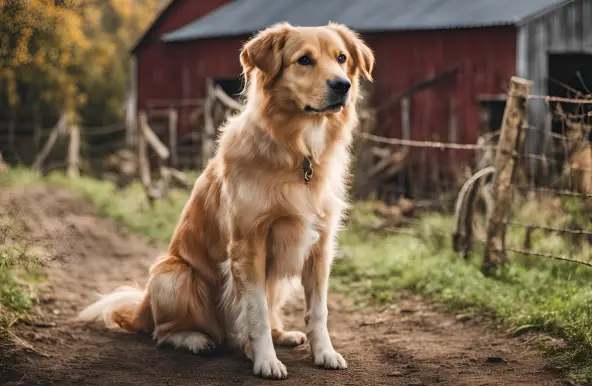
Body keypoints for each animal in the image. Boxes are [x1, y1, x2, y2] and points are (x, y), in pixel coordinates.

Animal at [79, 21, 374, 380]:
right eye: (304, 60)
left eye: (341, 58)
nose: (342, 85)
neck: (298, 149)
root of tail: (142, 308)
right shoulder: (248, 245)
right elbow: (256, 312)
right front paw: (265, 360)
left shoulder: (320, 246)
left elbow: (318, 311)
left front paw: (325, 353)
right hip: (172, 275)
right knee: (163, 332)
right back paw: (195, 339)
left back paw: (282, 335)